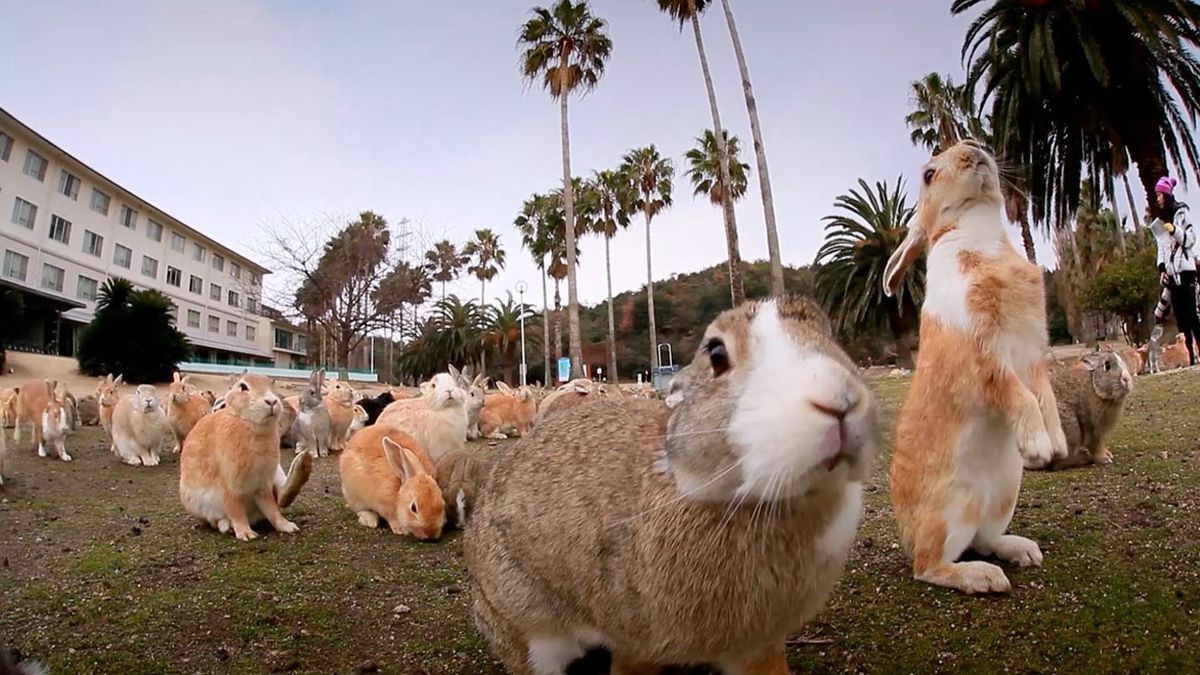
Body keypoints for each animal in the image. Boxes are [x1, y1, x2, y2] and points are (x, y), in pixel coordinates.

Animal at [178, 369, 314, 538]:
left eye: (271, 384)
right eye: (243, 387)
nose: (272, 401)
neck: (249, 423)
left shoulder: (263, 484)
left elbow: (272, 509)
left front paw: (287, 526)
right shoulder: (230, 485)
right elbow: (235, 510)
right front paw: (246, 534)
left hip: (276, 472)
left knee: (281, 496)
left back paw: (303, 465)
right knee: (217, 520)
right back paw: (227, 526)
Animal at [883, 139, 1070, 590]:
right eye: (929, 174)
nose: (974, 149)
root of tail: (908, 537)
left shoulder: (1033, 355)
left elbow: (1046, 397)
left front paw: (1057, 445)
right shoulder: (986, 358)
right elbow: (1018, 395)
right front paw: (1038, 447)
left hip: (1004, 497)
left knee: (985, 539)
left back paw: (1022, 551)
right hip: (953, 511)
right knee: (929, 567)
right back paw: (983, 578)